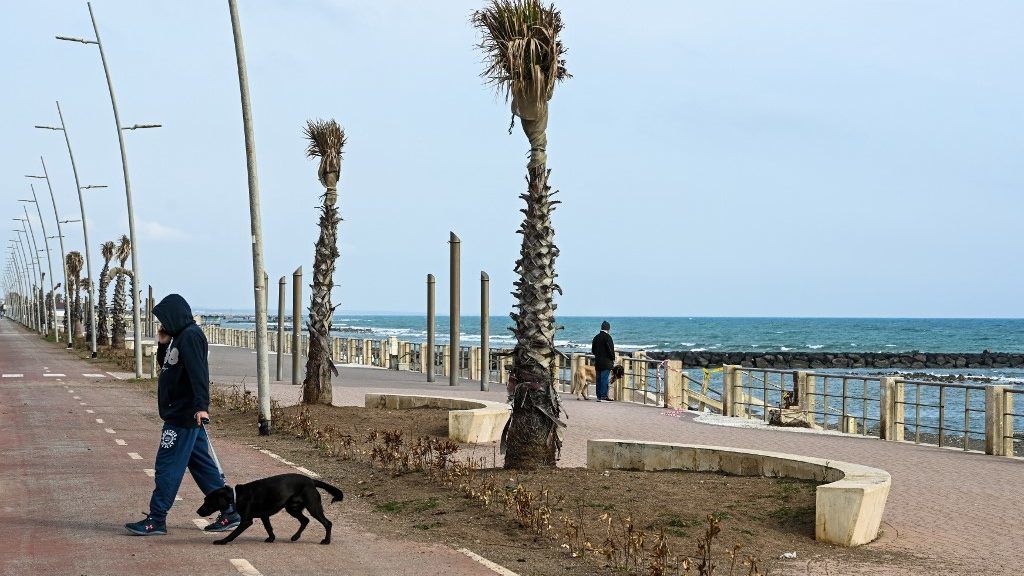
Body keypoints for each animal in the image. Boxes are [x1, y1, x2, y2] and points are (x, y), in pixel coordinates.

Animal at [195, 471, 344, 541]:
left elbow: (233, 534)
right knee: (305, 520)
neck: (236, 496)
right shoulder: (264, 515)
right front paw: (271, 539)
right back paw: (295, 537)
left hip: (313, 507)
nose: (198, 511)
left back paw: (326, 541)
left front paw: (222, 541)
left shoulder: (247, 521)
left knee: (327, 523)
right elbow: (269, 528)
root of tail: (311, 481)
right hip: (292, 508)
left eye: (208, 501)